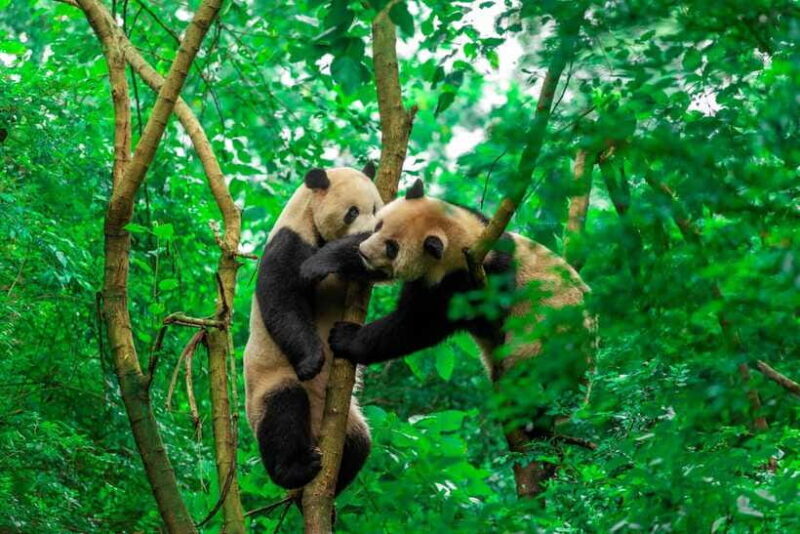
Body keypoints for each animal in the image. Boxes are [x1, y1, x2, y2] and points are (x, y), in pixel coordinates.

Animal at [244, 165, 383, 494]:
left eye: (376, 209)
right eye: (352, 212)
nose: (372, 232)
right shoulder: (289, 241)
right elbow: (282, 300)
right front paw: (312, 361)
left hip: (349, 419)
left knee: (360, 443)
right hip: (269, 383)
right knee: (284, 409)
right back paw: (296, 470)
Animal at [300, 179, 594, 493]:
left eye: (392, 248)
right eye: (379, 225)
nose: (366, 252)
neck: (468, 241)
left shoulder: (470, 285)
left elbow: (417, 325)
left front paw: (345, 337)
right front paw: (324, 261)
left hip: (545, 346)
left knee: (531, 384)